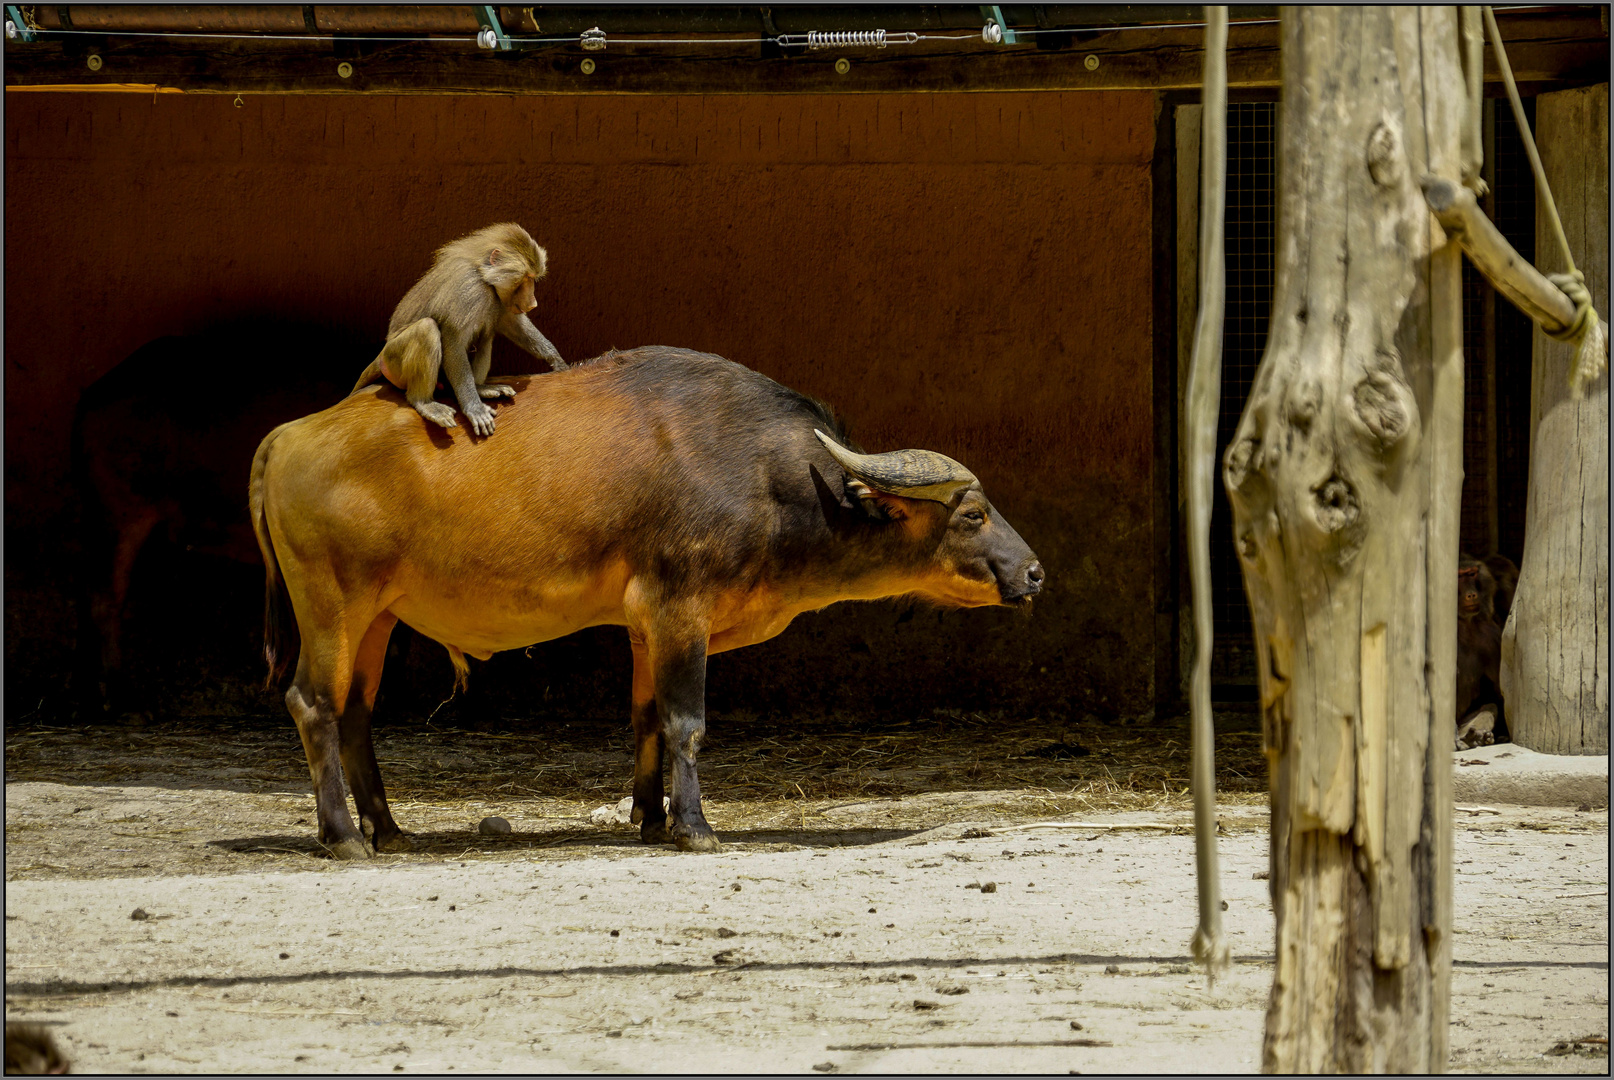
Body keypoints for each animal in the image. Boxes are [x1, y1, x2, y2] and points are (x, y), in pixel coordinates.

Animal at [353, 221, 568, 435]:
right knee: (427, 329)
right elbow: (453, 343)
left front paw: (558, 362)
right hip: (394, 360)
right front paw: (475, 409)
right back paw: (425, 403)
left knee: (486, 337)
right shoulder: (468, 290)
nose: (533, 304)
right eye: (525, 278)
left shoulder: (499, 298)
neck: (482, 274)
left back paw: (481, 388)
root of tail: (381, 354)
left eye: (532, 278)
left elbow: (514, 325)